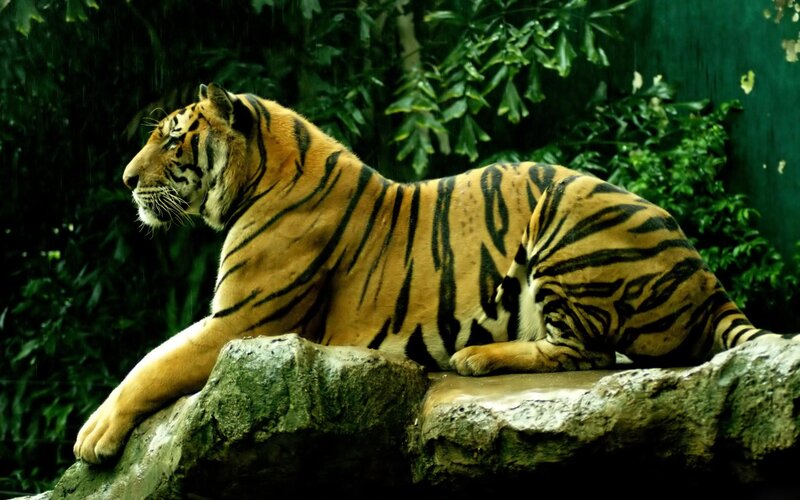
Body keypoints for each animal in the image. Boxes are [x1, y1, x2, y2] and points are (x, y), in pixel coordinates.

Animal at [73, 82, 796, 464]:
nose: (125, 181)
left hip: (567, 214)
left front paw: (92, 436)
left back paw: (475, 358)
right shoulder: (237, 320)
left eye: (173, 137)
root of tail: (705, 276)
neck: (260, 177)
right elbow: (154, 358)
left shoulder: (243, 321)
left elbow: (152, 363)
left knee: (588, 352)